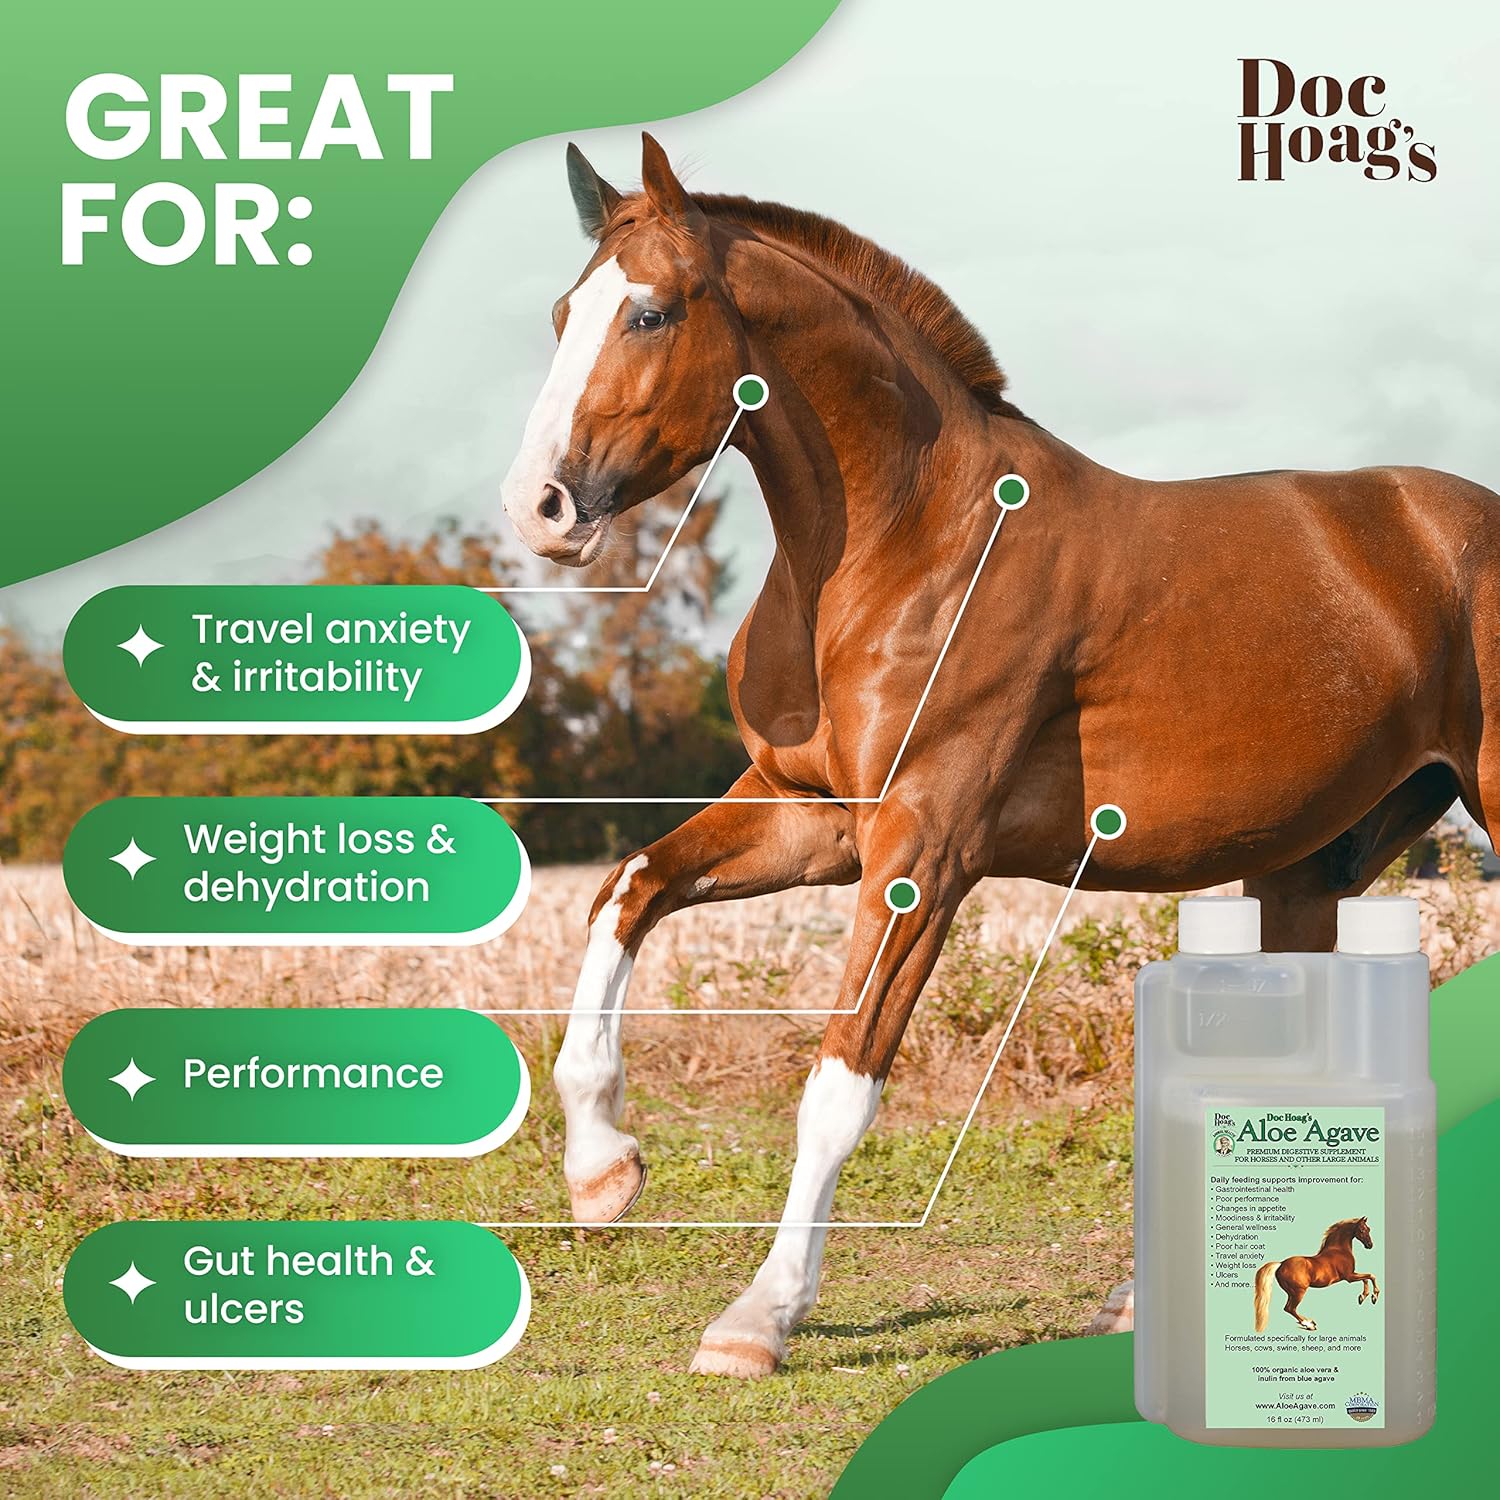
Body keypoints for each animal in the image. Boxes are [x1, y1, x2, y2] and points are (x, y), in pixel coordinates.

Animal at [499, 133, 1499, 1376]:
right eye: (561, 313)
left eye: (649, 313)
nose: (538, 508)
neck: (911, 539)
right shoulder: (809, 815)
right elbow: (625, 893)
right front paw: (602, 1170)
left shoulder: (924, 848)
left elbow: (840, 1079)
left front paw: (758, 1317)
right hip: (1307, 868)